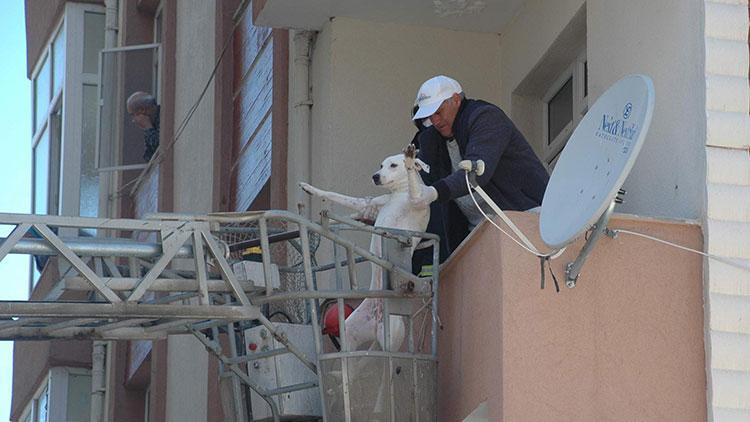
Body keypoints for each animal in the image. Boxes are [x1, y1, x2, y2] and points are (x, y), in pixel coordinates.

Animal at [298, 145, 432, 352]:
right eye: (381, 165)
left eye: (393, 165)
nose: (375, 176)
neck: (399, 193)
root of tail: (377, 319)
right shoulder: (367, 204)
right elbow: (335, 195)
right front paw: (309, 189)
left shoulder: (418, 200)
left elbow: (416, 191)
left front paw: (410, 159)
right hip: (349, 333)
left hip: (389, 339)